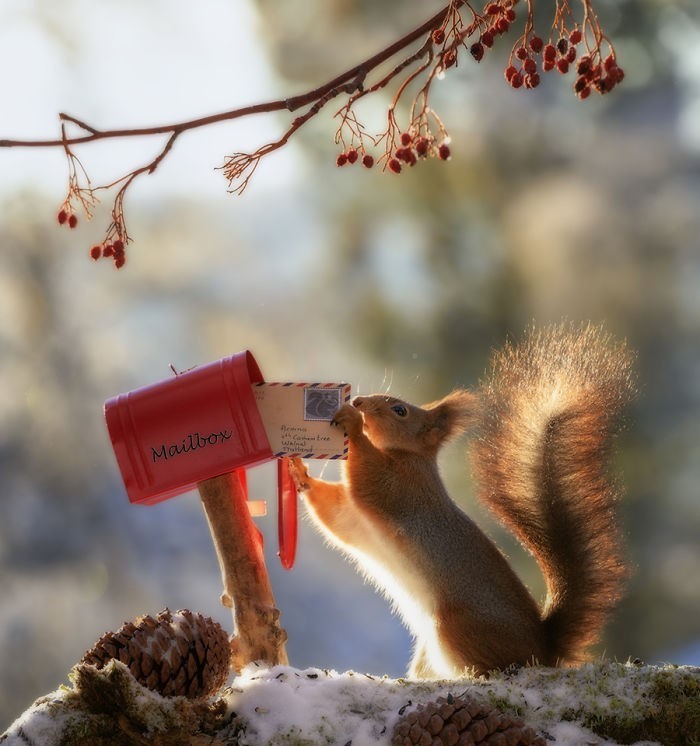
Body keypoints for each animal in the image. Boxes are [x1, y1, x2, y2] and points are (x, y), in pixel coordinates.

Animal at [288, 322, 636, 676]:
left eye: (400, 410)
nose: (358, 401)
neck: (409, 456)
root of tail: (543, 651)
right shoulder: (357, 519)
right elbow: (336, 514)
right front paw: (299, 473)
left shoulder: (401, 487)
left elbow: (369, 476)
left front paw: (353, 425)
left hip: (457, 628)